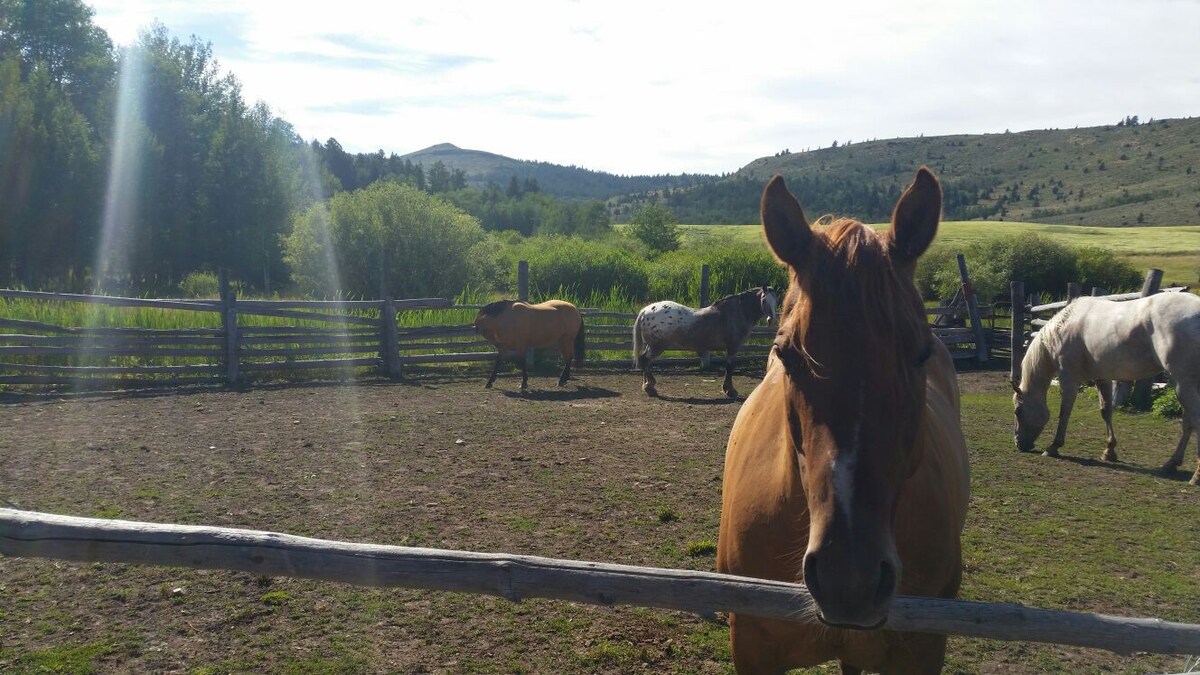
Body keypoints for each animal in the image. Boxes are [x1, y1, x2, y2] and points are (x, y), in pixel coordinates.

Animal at [628, 284, 777, 398]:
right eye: (764, 300)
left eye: (776, 301)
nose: (771, 320)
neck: (737, 312)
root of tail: (645, 311)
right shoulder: (733, 347)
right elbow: (729, 367)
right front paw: (730, 390)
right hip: (657, 347)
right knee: (645, 361)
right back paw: (650, 386)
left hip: (651, 346)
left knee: (645, 362)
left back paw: (647, 386)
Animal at [1012, 290, 1200, 482]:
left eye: (1018, 411)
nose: (1019, 443)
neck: (1064, 326)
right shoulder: (1102, 378)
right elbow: (1106, 411)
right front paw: (1109, 451)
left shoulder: (1069, 378)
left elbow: (1064, 413)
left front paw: (1053, 447)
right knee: (1188, 422)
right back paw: (1171, 464)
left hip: (1183, 384)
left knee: (1194, 419)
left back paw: (1196, 475)